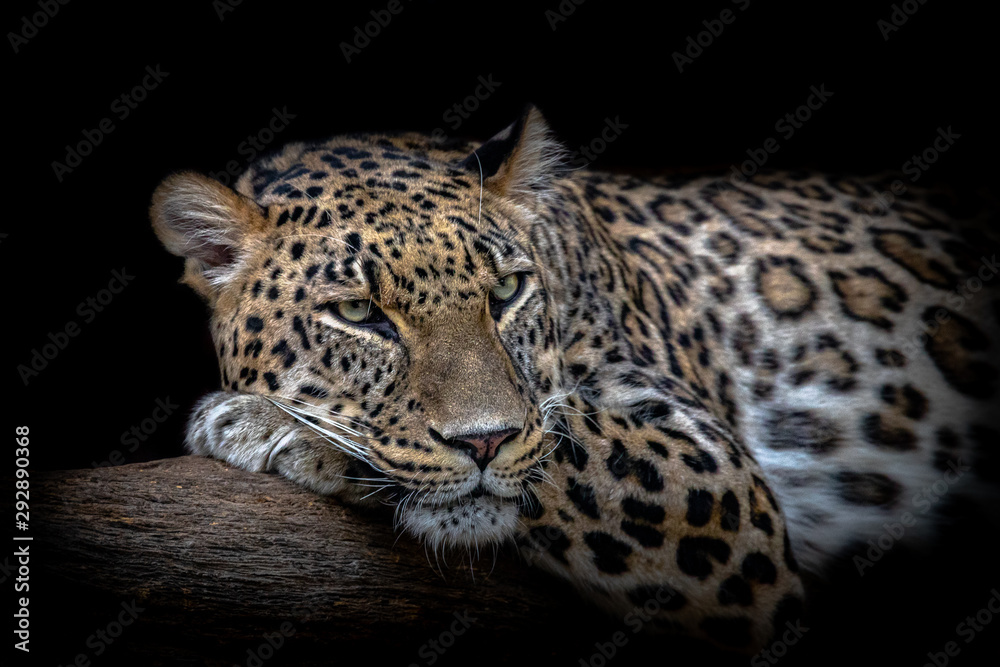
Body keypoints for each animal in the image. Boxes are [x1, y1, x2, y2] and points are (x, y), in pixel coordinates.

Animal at [150, 105, 1000, 653]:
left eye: (505, 291)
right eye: (358, 311)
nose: (484, 442)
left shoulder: (718, 482)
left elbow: (566, 439)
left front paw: (270, 424)